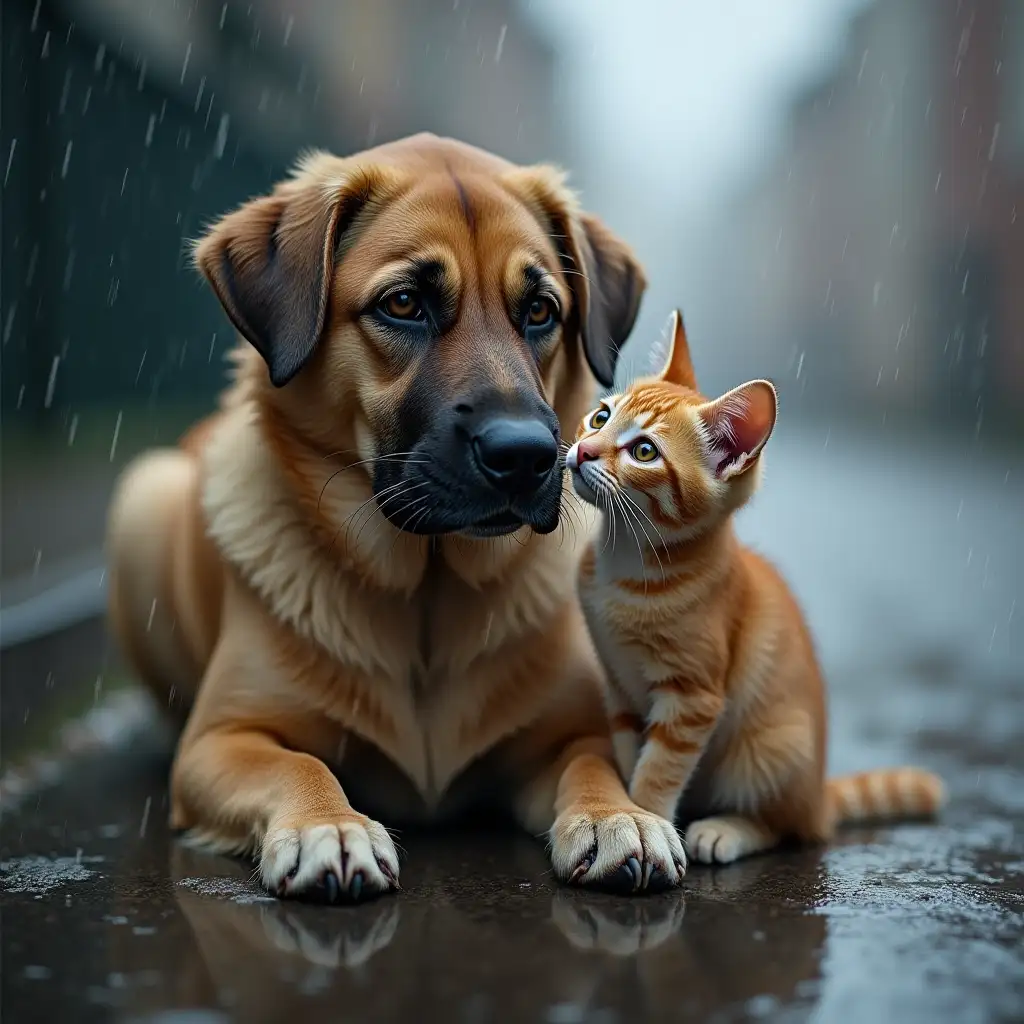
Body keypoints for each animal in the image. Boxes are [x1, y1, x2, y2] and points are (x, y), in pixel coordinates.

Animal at [105, 132, 688, 901]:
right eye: (405, 303)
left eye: (540, 311)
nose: (525, 457)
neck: (425, 603)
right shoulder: (223, 740)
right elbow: (299, 764)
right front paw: (328, 826)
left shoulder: (569, 734)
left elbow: (594, 766)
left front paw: (617, 815)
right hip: (141, 499)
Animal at [565, 311, 946, 864]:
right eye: (599, 417)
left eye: (644, 451)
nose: (582, 450)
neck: (628, 562)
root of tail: (818, 795)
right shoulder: (620, 689)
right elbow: (628, 753)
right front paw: (626, 805)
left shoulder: (692, 698)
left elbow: (657, 771)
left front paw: (646, 818)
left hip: (774, 750)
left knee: (790, 828)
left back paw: (725, 830)